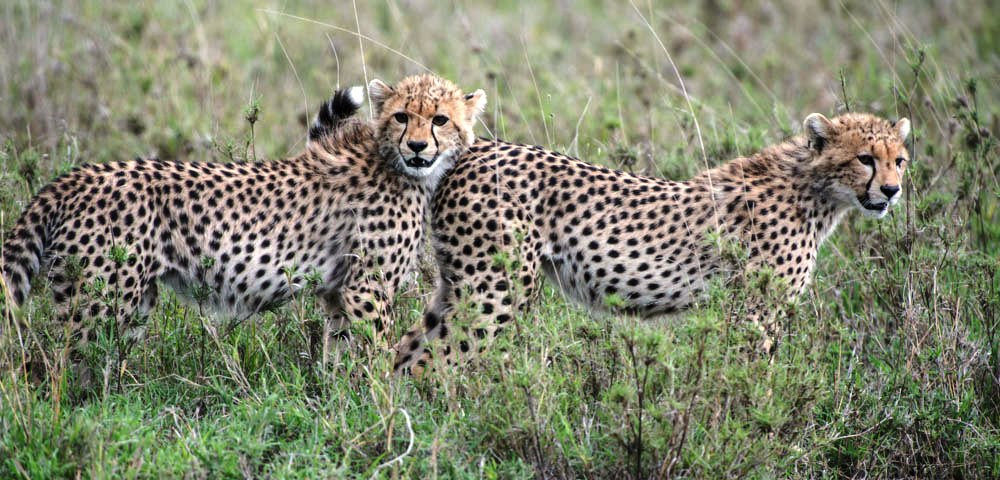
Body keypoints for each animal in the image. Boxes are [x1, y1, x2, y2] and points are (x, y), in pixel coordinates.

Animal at [0, 72, 484, 356]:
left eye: (439, 120)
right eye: (402, 116)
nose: (417, 146)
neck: (392, 160)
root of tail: (74, 176)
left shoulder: (337, 291)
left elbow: (340, 353)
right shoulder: (368, 288)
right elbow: (376, 353)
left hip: (128, 300)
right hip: (100, 300)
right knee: (64, 366)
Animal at [394, 111, 912, 372]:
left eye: (900, 160)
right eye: (866, 158)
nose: (891, 191)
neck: (815, 189)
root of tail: (474, 148)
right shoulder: (756, 311)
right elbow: (751, 380)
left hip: (461, 282)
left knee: (407, 348)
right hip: (495, 290)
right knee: (436, 361)